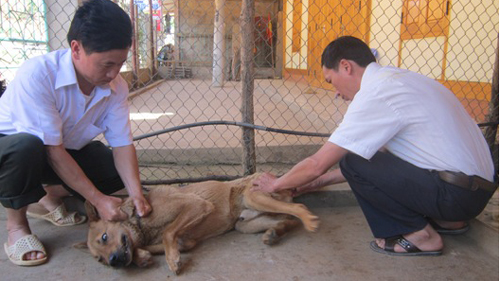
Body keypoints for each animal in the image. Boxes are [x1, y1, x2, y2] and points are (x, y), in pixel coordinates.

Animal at [83, 173, 318, 274]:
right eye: (99, 260)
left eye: (104, 237)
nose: (113, 262)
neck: (141, 223)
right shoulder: (186, 241)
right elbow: (156, 244)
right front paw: (141, 256)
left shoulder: (196, 205)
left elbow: (168, 232)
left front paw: (172, 260)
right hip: (245, 223)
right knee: (287, 220)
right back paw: (274, 233)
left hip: (254, 197)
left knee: (298, 209)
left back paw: (308, 220)